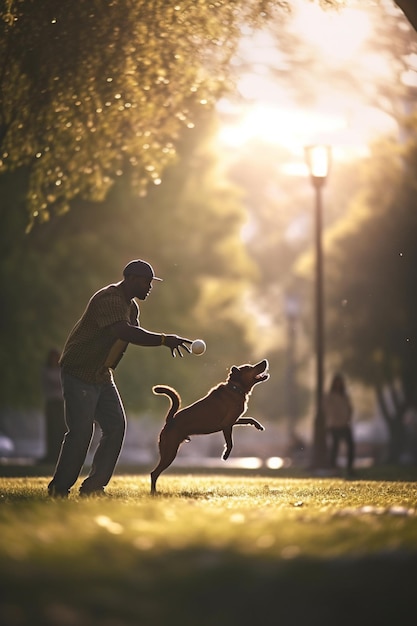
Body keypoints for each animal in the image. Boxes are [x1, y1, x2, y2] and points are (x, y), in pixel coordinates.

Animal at [151, 360, 268, 492]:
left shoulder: (234, 420)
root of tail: (170, 420)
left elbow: (249, 419)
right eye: (250, 368)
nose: (265, 361)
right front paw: (225, 455)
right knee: (154, 473)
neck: (235, 388)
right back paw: (154, 492)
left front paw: (258, 425)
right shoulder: (227, 424)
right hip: (170, 451)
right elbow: (230, 442)